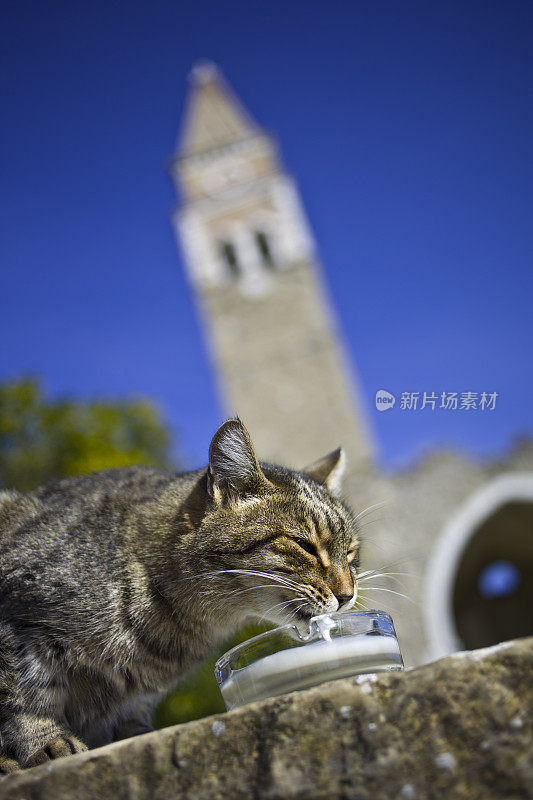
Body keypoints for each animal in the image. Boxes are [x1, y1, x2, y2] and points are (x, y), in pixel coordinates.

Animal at [0, 416, 360, 772]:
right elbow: (24, 698)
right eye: (304, 545)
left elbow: (131, 712)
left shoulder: (138, 691)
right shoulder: (17, 624)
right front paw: (45, 741)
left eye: (351, 553)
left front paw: (135, 733)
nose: (347, 595)